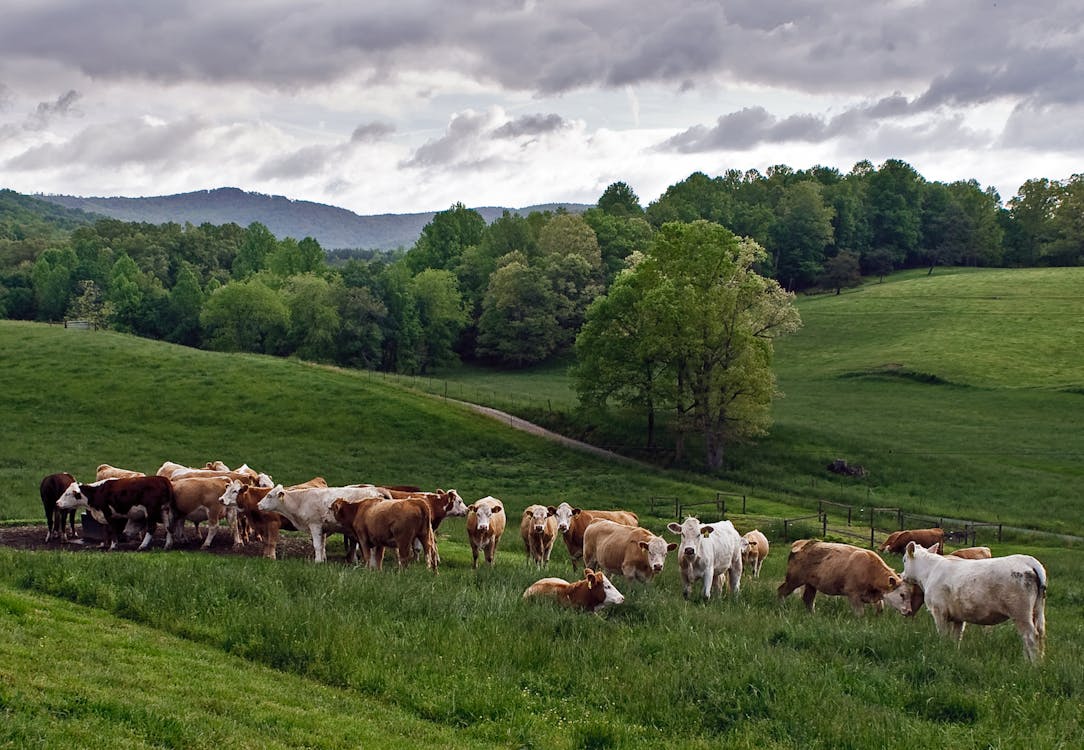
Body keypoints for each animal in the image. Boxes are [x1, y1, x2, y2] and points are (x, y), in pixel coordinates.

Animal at [255, 481, 388, 563]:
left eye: (269, 495)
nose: (258, 505)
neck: (301, 500)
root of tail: (376, 490)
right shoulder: (324, 528)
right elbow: (323, 545)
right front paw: (323, 560)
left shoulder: (315, 525)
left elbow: (317, 545)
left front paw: (317, 561)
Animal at [901, 541, 1044, 658]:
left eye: (904, 560)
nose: (901, 575)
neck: (929, 572)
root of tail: (1027, 560)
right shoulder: (958, 617)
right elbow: (956, 637)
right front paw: (952, 653)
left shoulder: (939, 611)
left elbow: (943, 635)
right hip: (1037, 610)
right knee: (1038, 634)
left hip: (1020, 612)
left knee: (1031, 636)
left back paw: (1032, 665)